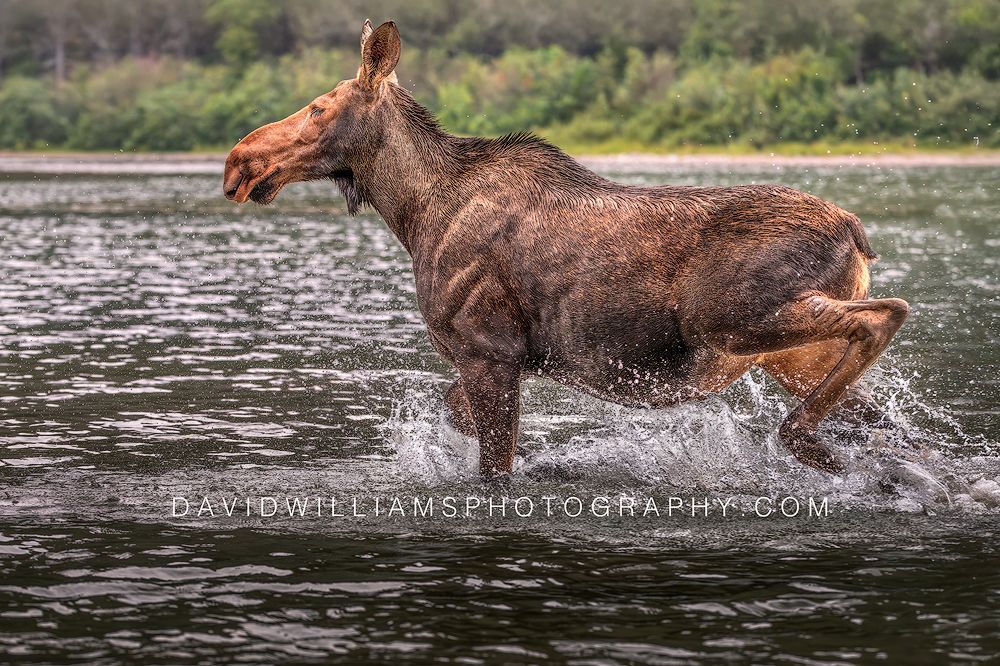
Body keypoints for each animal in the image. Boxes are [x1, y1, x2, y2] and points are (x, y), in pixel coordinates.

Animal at [223, 20, 909, 480]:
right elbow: (458, 421)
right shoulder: (488, 360)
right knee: (887, 418)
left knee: (886, 315)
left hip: (732, 319)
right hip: (790, 355)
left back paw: (803, 442)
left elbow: (494, 468)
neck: (413, 214)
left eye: (317, 107)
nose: (238, 160)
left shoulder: (490, 350)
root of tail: (857, 234)